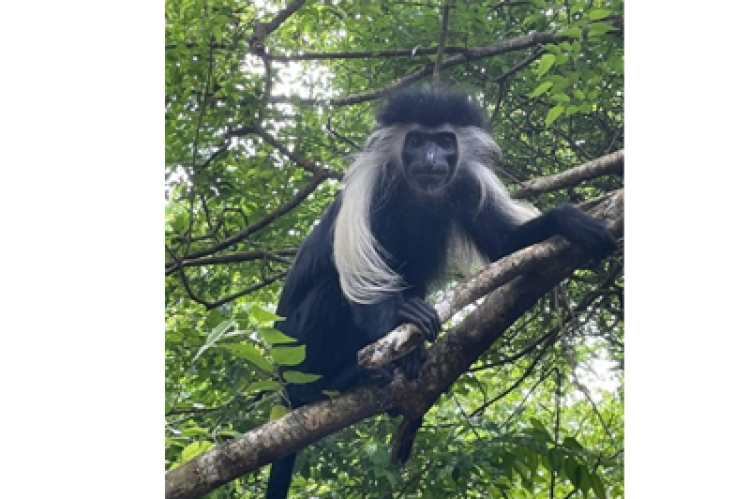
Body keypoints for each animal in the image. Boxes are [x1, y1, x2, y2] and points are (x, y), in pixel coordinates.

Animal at [268, 87, 620, 499]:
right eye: (417, 141)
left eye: (444, 142)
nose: (432, 158)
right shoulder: (366, 187)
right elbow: (364, 283)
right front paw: (404, 340)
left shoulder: (467, 182)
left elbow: (503, 243)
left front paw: (569, 219)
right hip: (295, 346)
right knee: (330, 292)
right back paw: (333, 383)